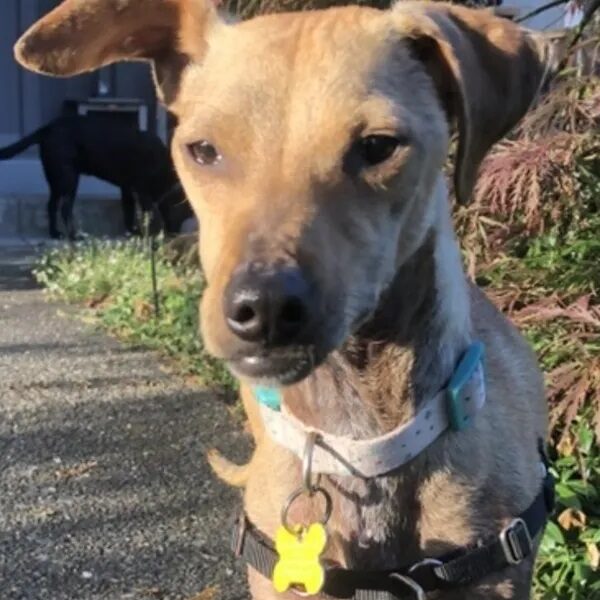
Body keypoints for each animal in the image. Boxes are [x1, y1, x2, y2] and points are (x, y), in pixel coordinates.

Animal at [0, 115, 192, 239]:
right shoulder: (142, 190)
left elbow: (128, 210)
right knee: (65, 208)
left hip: (55, 180)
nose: (175, 235)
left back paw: (55, 233)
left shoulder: (127, 188)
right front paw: (147, 233)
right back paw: (74, 235)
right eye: (183, 215)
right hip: (69, 179)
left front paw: (132, 232)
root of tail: (48, 127)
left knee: (51, 205)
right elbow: (146, 213)